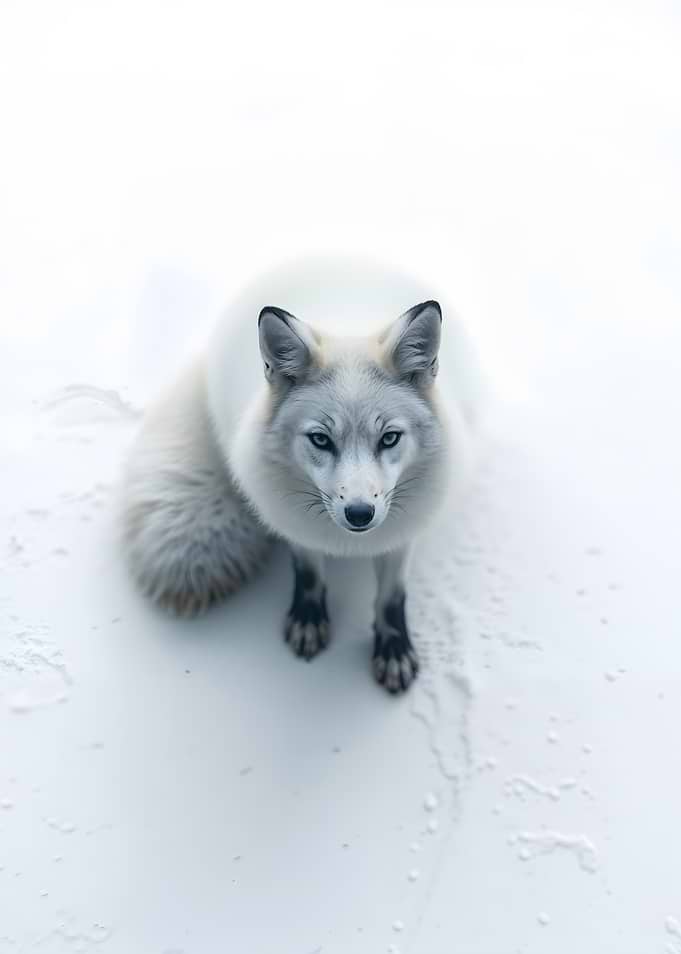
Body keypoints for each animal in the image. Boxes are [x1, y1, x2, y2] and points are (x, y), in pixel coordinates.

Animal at [121, 257, 482, 693]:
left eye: (390, 438)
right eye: (321, 439)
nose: (359, 514)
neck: (348, 546)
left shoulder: (402, 534)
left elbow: (391, 595)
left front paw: (393, 647)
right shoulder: (292, 523)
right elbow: (308, 573)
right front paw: (309, 620)